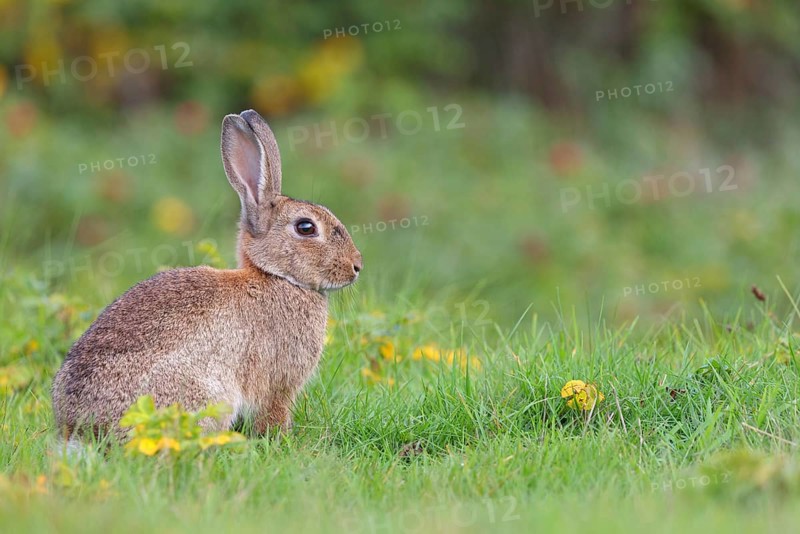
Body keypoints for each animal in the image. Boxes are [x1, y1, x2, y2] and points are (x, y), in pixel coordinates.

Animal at [52, 109, 363, 440]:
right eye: (306, 228)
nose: (356, 266)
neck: (275, 276)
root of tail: (81, 430)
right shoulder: (278, 384)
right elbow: (273, 414)